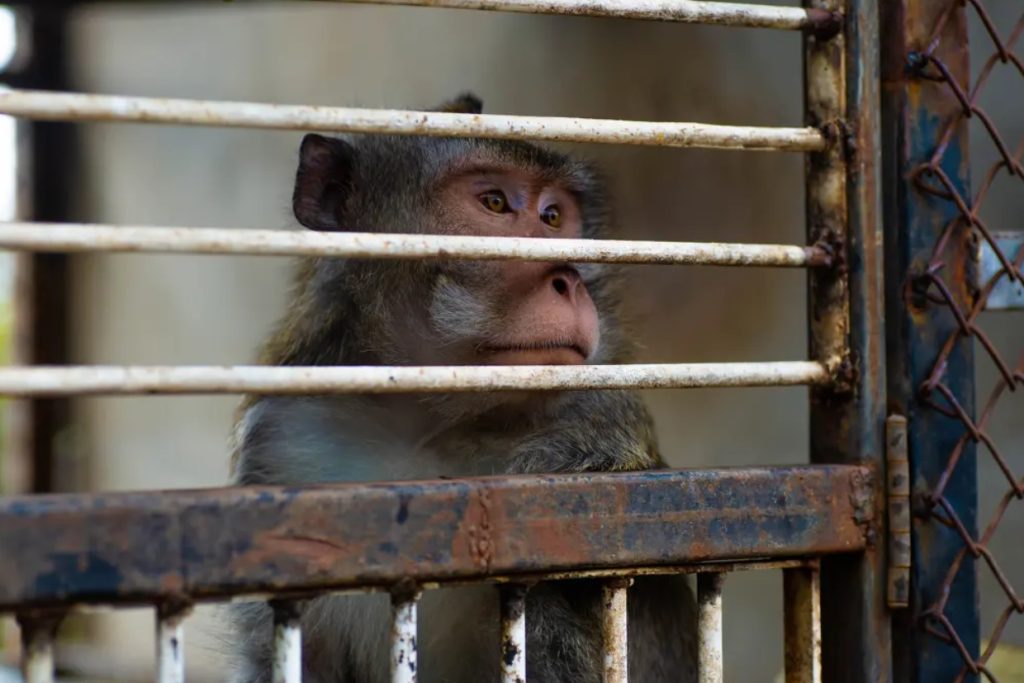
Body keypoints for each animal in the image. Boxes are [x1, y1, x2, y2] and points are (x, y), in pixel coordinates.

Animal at [229, 93, 697, 683]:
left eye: (553, 217)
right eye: (495, 203)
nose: (567, 278)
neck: (432, 424)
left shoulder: (587, 448)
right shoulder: (287, 439)